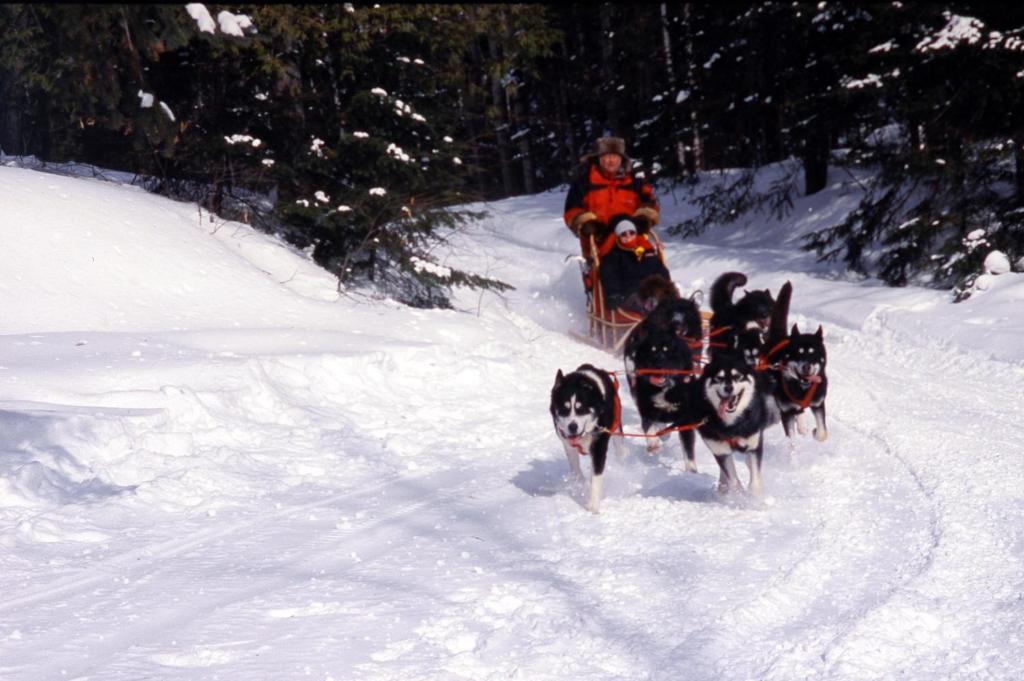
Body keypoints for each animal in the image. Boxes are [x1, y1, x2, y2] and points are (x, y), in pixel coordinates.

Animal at [548, 360, 618, 509]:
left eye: (582, 409)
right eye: (565, 409)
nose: (572, 427)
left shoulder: (598, 446)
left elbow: (596, 476)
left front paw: (593, 505)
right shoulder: (568, 444)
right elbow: (576, 471)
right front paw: (581, 485)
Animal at [618, 294, 708, 471]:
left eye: (686, 312)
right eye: (670, 312)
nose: (677, 323)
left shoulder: (686, 417)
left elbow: (688, 450)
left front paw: (691, 472)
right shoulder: (646, 407)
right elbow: (649, 426)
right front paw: (653, 441)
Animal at [700, 350, 770, 493]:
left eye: (737, 376)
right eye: (719, 378)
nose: (728, 388)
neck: (732, 425)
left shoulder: (753, 444)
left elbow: (754, 483)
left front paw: (755, 496)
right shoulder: (720, 450)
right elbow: (733, 481)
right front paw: (736, 495)